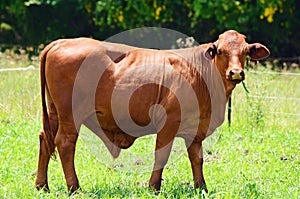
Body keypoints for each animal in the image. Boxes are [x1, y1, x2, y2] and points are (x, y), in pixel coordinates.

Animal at [35, 29, 270, 193]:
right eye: (220, 51)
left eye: (245, 52)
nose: (236, 72)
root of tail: (62, 41)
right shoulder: (169, 122)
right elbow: (162, 155)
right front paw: (153, 187)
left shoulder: (195, 128)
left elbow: (197, 158)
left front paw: (201, 187)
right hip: (70, 115)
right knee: (65, 143)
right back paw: (74, 188)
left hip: (55, 112)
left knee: (45, 139)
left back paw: (42, 186)